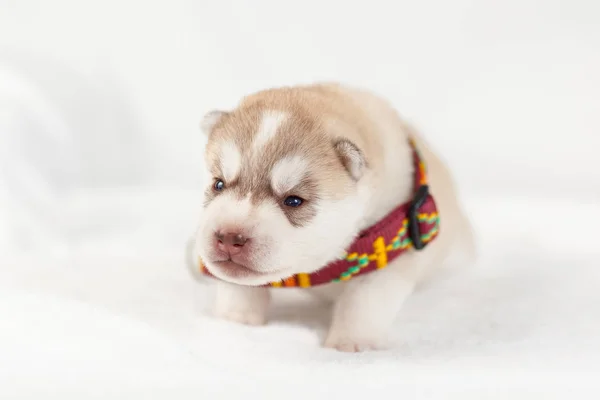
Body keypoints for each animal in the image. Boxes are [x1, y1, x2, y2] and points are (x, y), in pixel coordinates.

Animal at [191, 83, 474, 352]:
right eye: (218, 184)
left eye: (293, 200)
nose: (229, 237)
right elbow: (238, 289)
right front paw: (235, 321)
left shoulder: (389, 252)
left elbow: (364, 301)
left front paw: (350, 343)